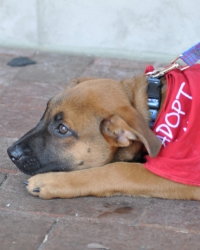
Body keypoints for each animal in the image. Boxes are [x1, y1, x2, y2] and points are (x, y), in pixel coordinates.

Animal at [6, 64, 200, 199]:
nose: (10, 153)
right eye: (44, 114)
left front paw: (51, 181)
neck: (155, 106)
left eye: (62, 129)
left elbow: (116, 170)